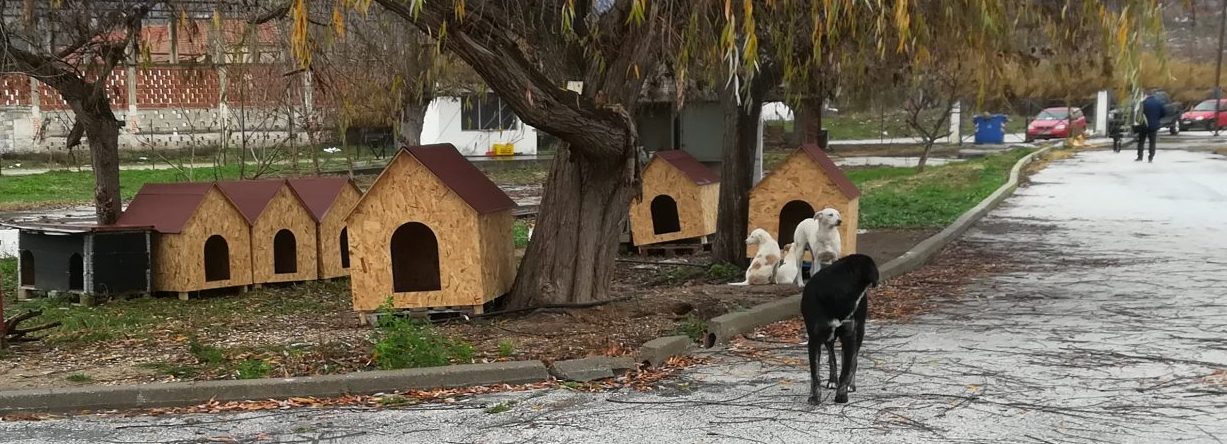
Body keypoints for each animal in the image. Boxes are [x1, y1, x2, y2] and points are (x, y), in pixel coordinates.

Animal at [800, 252, 878, 402]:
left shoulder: (849, 336)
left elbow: (847, 368)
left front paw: (842, 394)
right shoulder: (814, 339)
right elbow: (815, 372)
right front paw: (815, 396)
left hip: (859, 331)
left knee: (853, 360)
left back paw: (850, 384)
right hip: (828, 338)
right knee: (832, 358)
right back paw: (832, 380)